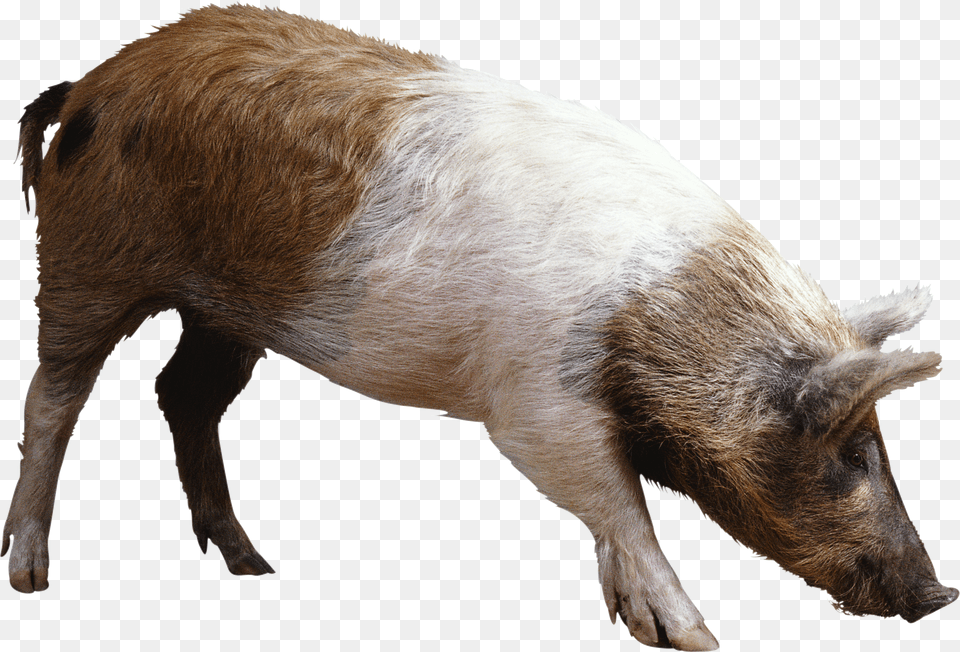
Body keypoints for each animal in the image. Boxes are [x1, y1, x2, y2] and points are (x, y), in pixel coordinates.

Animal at [2, 5, 955, 649]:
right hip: (85, 263)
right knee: (53, 397)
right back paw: (32, 578)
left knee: (182, 396)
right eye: (849, 452)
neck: (664, 324)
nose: (939, 593)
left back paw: (252, 566)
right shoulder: (533, 404)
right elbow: (620, 501)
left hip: (223, 312)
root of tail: (86, 85)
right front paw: (697, 637)